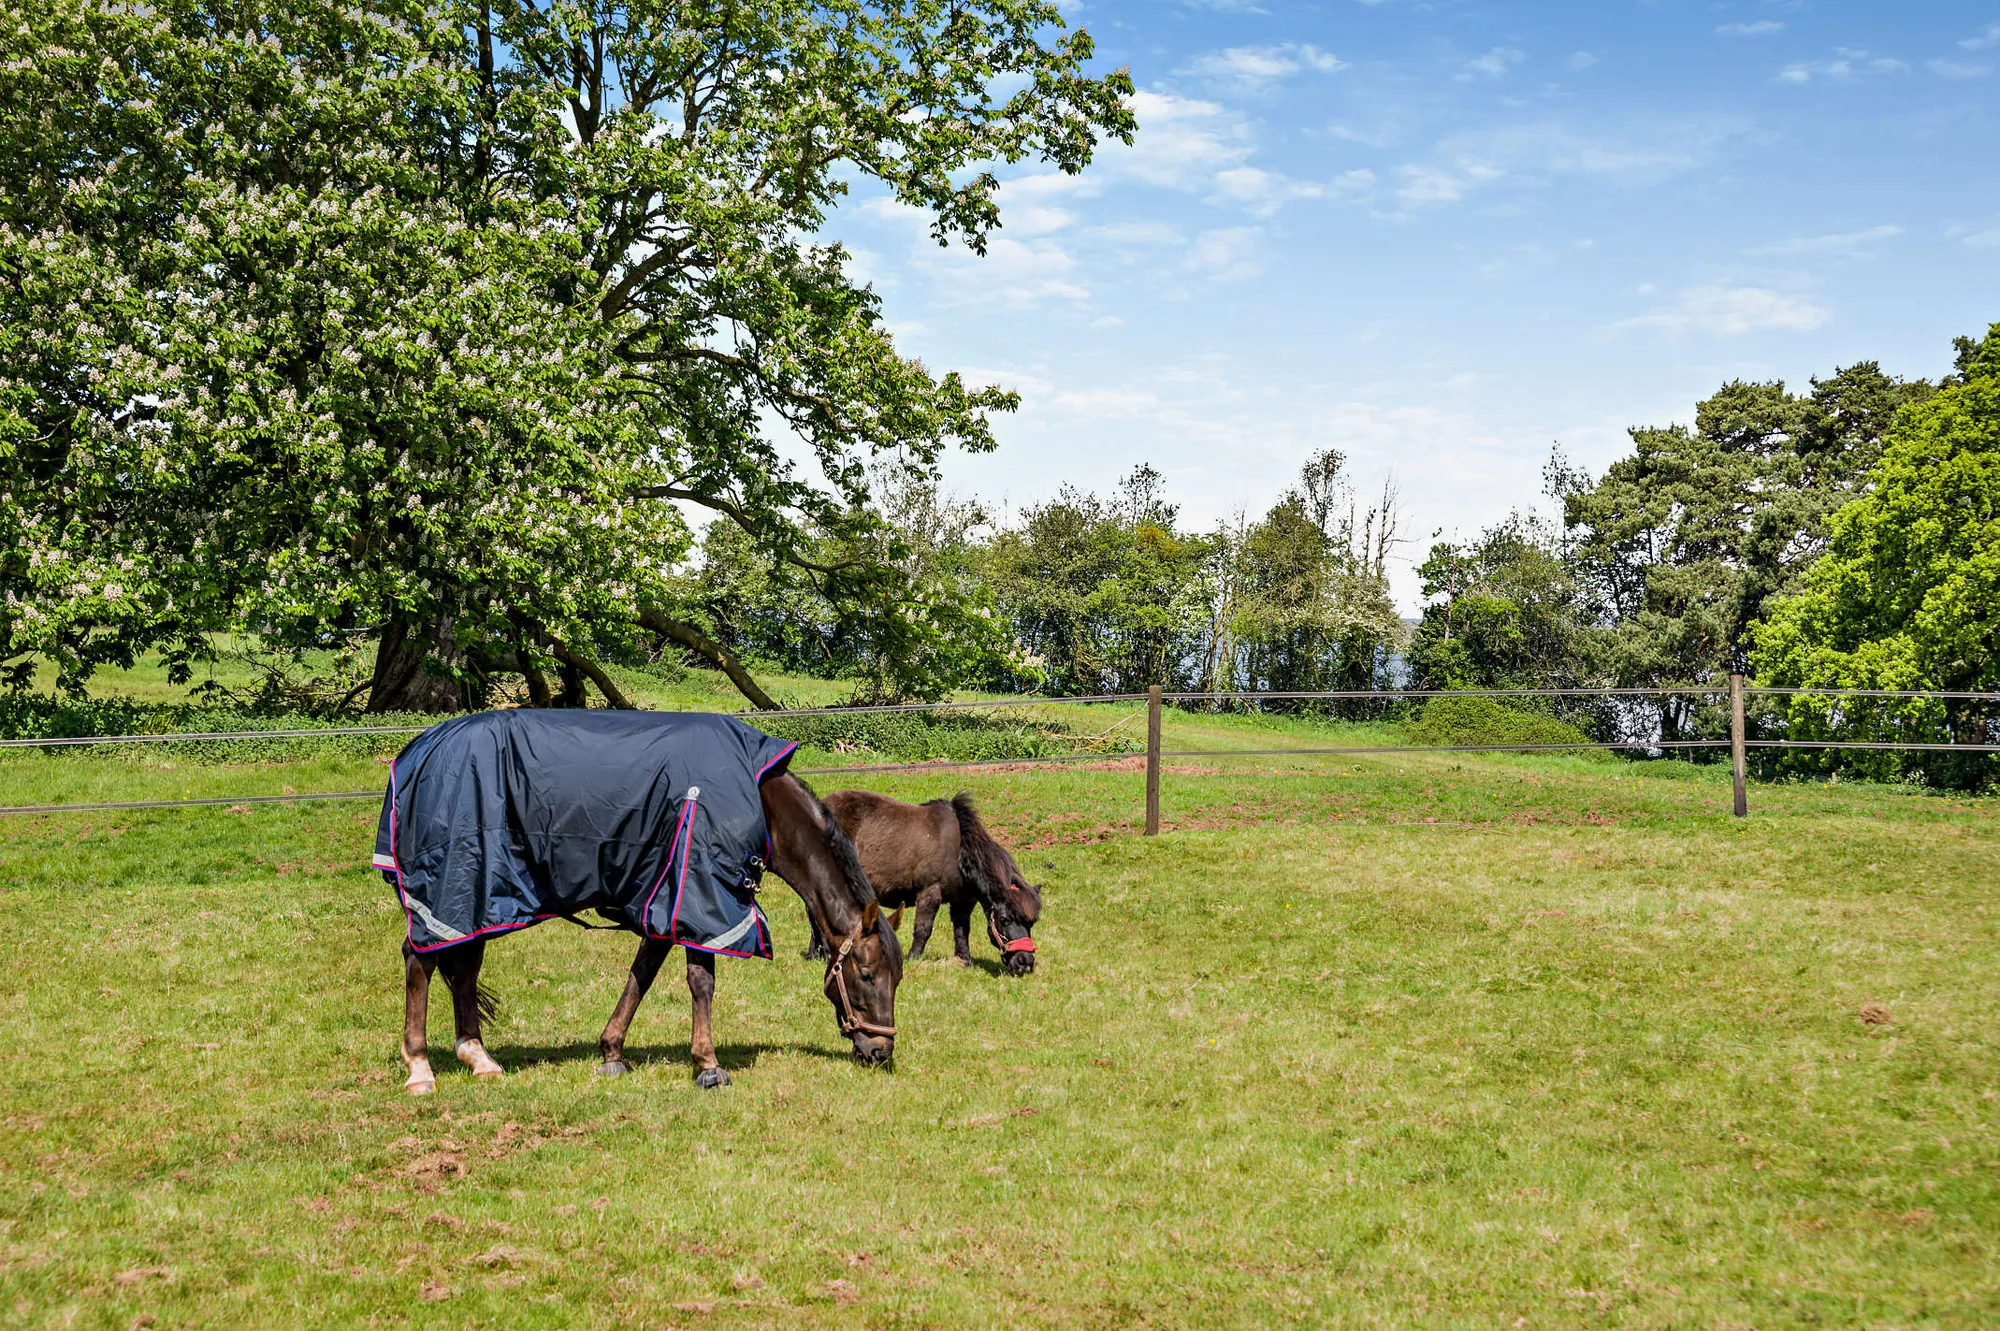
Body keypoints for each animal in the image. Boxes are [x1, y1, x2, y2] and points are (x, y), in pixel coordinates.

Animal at [398, 767, 900, 1087]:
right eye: (867, 974)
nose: (881, 1051)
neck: (758, 803)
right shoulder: (701, 898)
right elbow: (701, 981)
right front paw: (708, 1065)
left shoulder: (667, 906)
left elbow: (641, 976)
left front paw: (612, 1052)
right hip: (454, 888)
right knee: (419, 961)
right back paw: (420, 1067)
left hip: (474, 900)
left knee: (462, 968)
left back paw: (479, 1058)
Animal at [820, 787, 1048, 975]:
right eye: (1005, 920)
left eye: (1031, 922)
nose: (1025, 963)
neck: (959, 852)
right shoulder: (930, 893)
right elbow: (923, 928)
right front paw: (913, 958)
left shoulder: (964, 902)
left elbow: (962, 931)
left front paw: (964, 961)